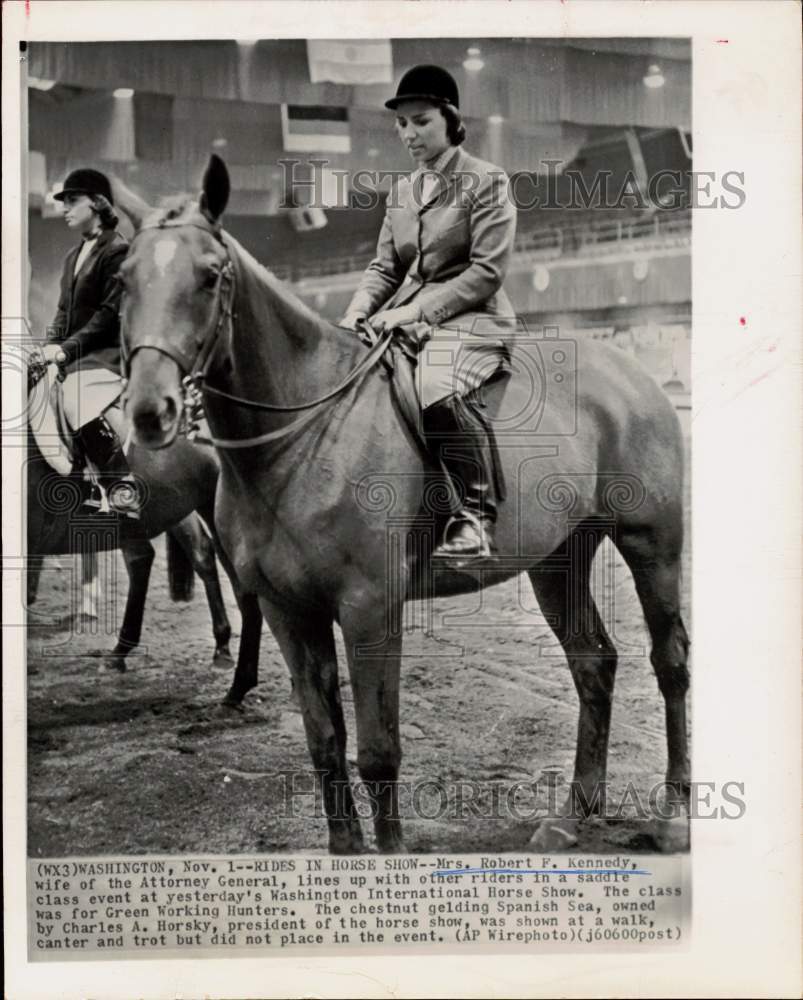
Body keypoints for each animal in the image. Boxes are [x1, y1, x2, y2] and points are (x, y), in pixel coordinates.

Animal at [116, 156, 688, 852]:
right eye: (122, 279)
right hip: (558, 560)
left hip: (650, 545)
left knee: (670, 663)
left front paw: (387, 857)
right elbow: (325, 742)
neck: (301, 436)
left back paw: (673, 814)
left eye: (209, 276)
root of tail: (635, 373)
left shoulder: (369, 609)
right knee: (594, 664)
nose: (151, 412)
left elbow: (377, 751)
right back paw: (573, 815)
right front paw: (345, 852)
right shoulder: (287, 611)